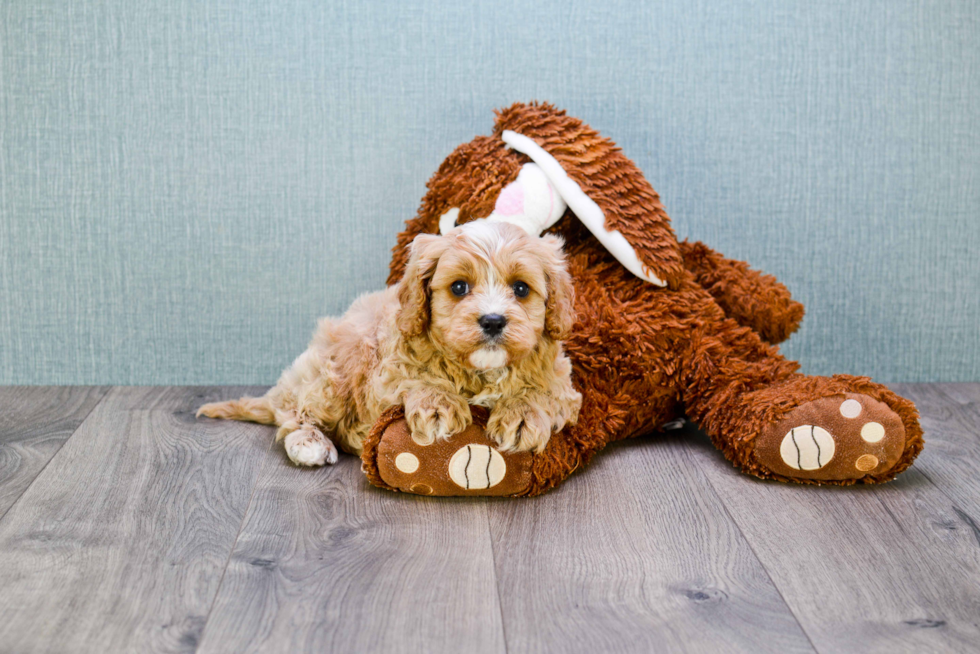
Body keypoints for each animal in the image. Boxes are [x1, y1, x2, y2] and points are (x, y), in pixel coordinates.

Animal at [198, 220, 580, 466]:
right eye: (459, 287)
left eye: (521, 288)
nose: (493, 320)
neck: (479, 371)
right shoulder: (386, 371)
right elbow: (416, 377)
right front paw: (437, 404)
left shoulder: (564, 384)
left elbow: (543, 391)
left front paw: (521, 414)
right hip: (333, 372)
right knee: (292, 414)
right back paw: (310, 443)